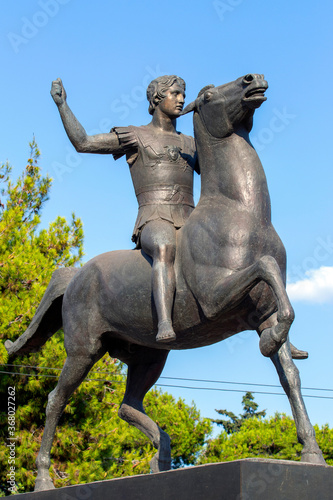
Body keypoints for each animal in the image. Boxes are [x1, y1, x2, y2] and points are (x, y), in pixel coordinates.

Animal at [3, 74, 322, 492]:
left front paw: (311, 452)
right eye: (207, 95)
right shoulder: (216, 300)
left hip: (148, 356)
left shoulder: (263, 314)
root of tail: (75, 276)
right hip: (84, 351)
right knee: (56, 400)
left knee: (127, 405)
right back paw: (44, 479)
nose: (254, 80)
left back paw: (163, 456)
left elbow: (291, 376)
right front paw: (58, 94)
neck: (242, 214)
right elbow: (265, 267)